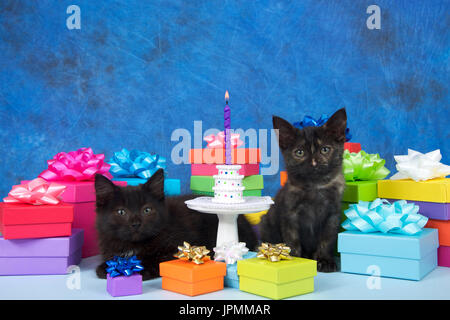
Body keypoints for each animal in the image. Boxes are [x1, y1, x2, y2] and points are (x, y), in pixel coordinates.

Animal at [95, 170, 256, 280]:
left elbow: (156, 260)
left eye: (147, 210)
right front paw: (106, 267)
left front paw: (139, 268)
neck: (134, 245)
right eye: (121, 212)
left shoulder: (175, 247)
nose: (136, 224)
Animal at [258, 108, 346, 272]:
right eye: (299, 153)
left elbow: (327, 239)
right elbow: (292, 240)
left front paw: (325, 260)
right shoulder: (290, 214)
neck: (314, 187)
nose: (313, 163)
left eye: (325, 149)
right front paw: (295, 260)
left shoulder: (332, 215)